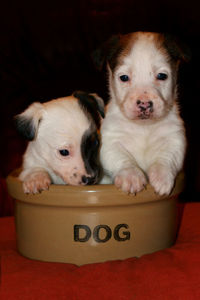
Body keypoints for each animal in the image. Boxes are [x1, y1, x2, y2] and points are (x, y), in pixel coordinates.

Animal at [97, 31, 188, 196]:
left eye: (162, 76)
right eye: (124, 77)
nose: (144, 104)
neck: (143, 127)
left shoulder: (174, 139)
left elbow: (166, 157)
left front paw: (162, 175)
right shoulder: (110, 143)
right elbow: (121, 157)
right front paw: (131, 175)